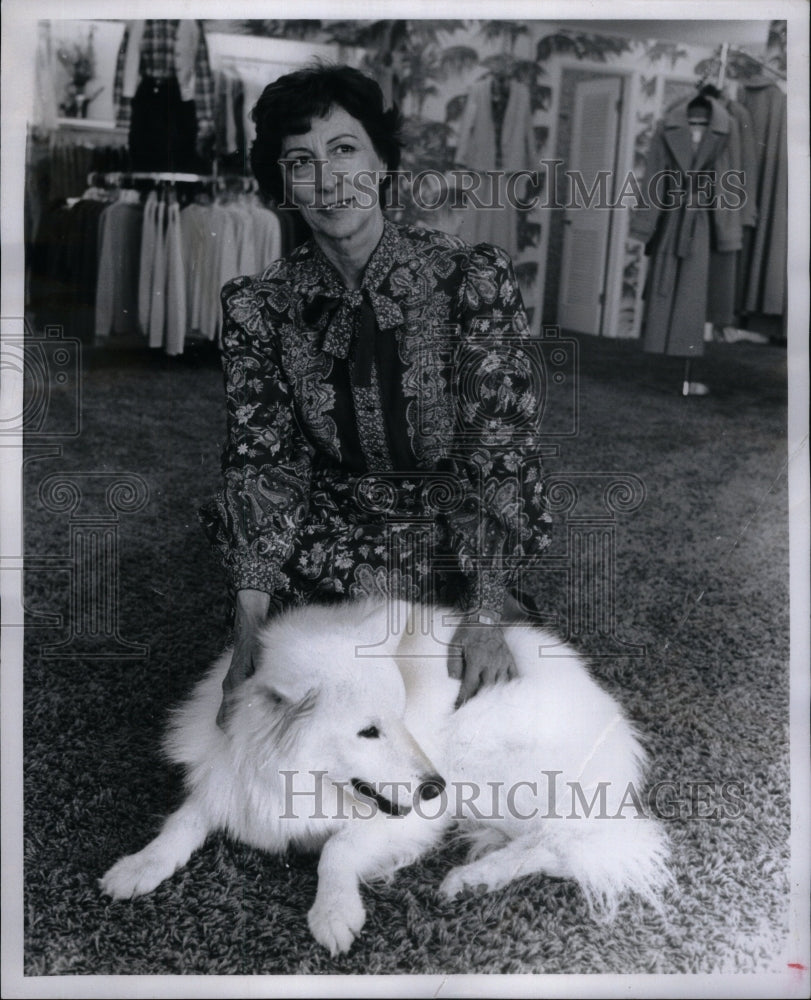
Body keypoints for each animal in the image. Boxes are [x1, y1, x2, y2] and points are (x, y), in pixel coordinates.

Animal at [101, 600, 672, 952]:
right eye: (368, 731)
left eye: (400, 717)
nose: (435, 787)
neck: (287, 776)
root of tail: (615, 725)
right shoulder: (229, 783)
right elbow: (182, 822)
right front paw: (139, 867)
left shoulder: (411, 819)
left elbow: (338, 849)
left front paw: (333, 912)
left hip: (491, 776)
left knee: (566, 841)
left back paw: (472, 879)